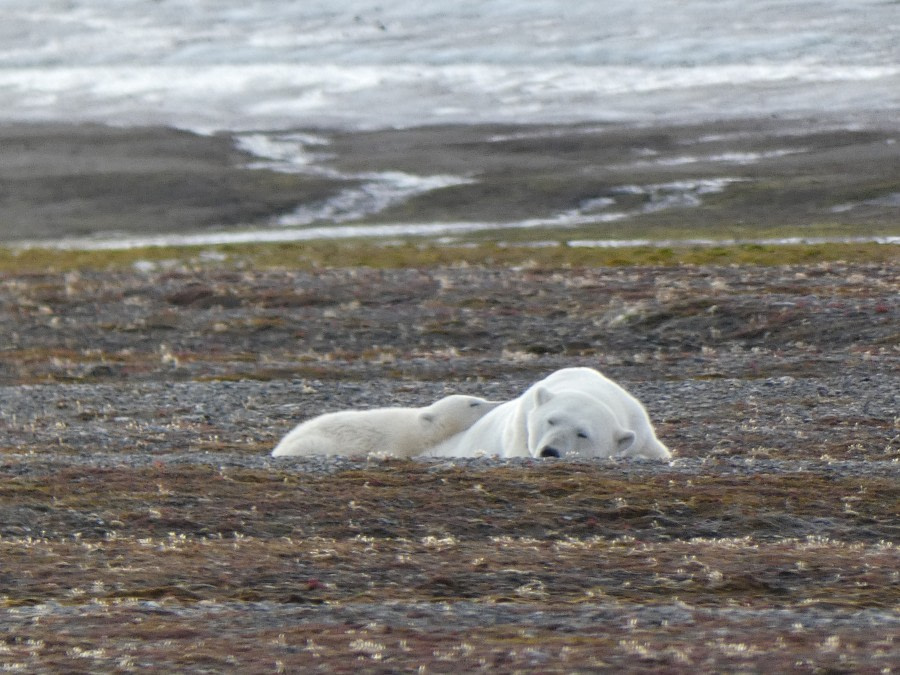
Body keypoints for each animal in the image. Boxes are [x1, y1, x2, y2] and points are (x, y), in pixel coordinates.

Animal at [270, 394, 502, 456]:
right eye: (473, 403)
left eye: (478, 398)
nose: (498, 403)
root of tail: (279, 447)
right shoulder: (398, 442)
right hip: (314, 442)